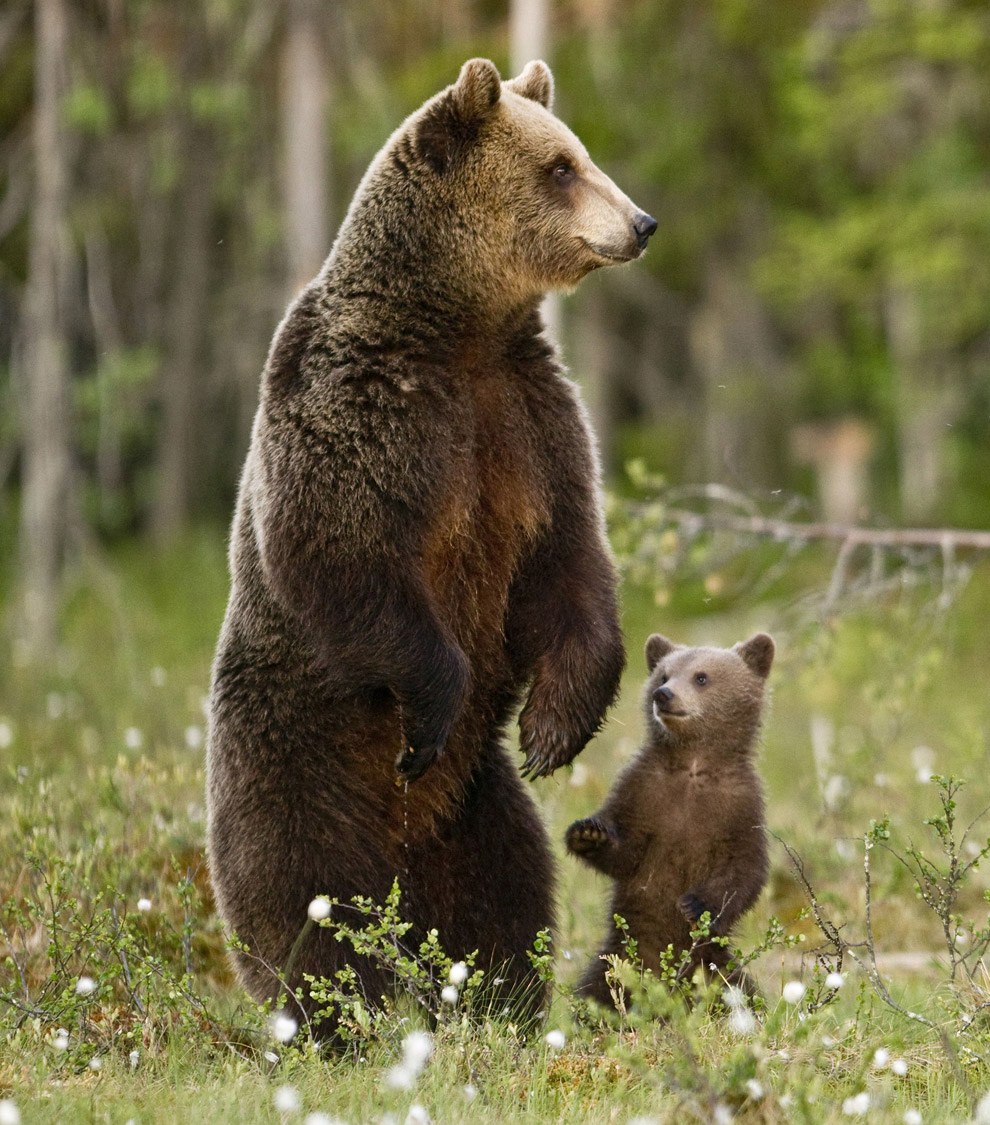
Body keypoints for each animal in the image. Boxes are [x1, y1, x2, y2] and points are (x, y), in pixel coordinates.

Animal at [207, 57, 657, 1026]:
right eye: (561, 167)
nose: (642, 222)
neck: (458, 330)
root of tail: (403, 855)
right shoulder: (362, 411)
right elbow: (336, 553)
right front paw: (434, 704)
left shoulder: (528, 423)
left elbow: (570, 561)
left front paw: (554, 728)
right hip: (291, 763)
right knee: (305, 901)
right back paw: (348, 1014)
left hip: (478, 806)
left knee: (507, 890)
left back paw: (500, 1000)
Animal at [564, 630, 774, 1008]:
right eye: (663, 674)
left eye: (701, 677)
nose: (663, 695)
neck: (693, 766)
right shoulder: (644, 792)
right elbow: (626, 851)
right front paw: (588, 834)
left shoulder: (740, 805)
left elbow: (745, 868)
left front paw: (696, 904)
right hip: (620, 959)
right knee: (596, 990)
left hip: (714, 966)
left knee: (742, 992)